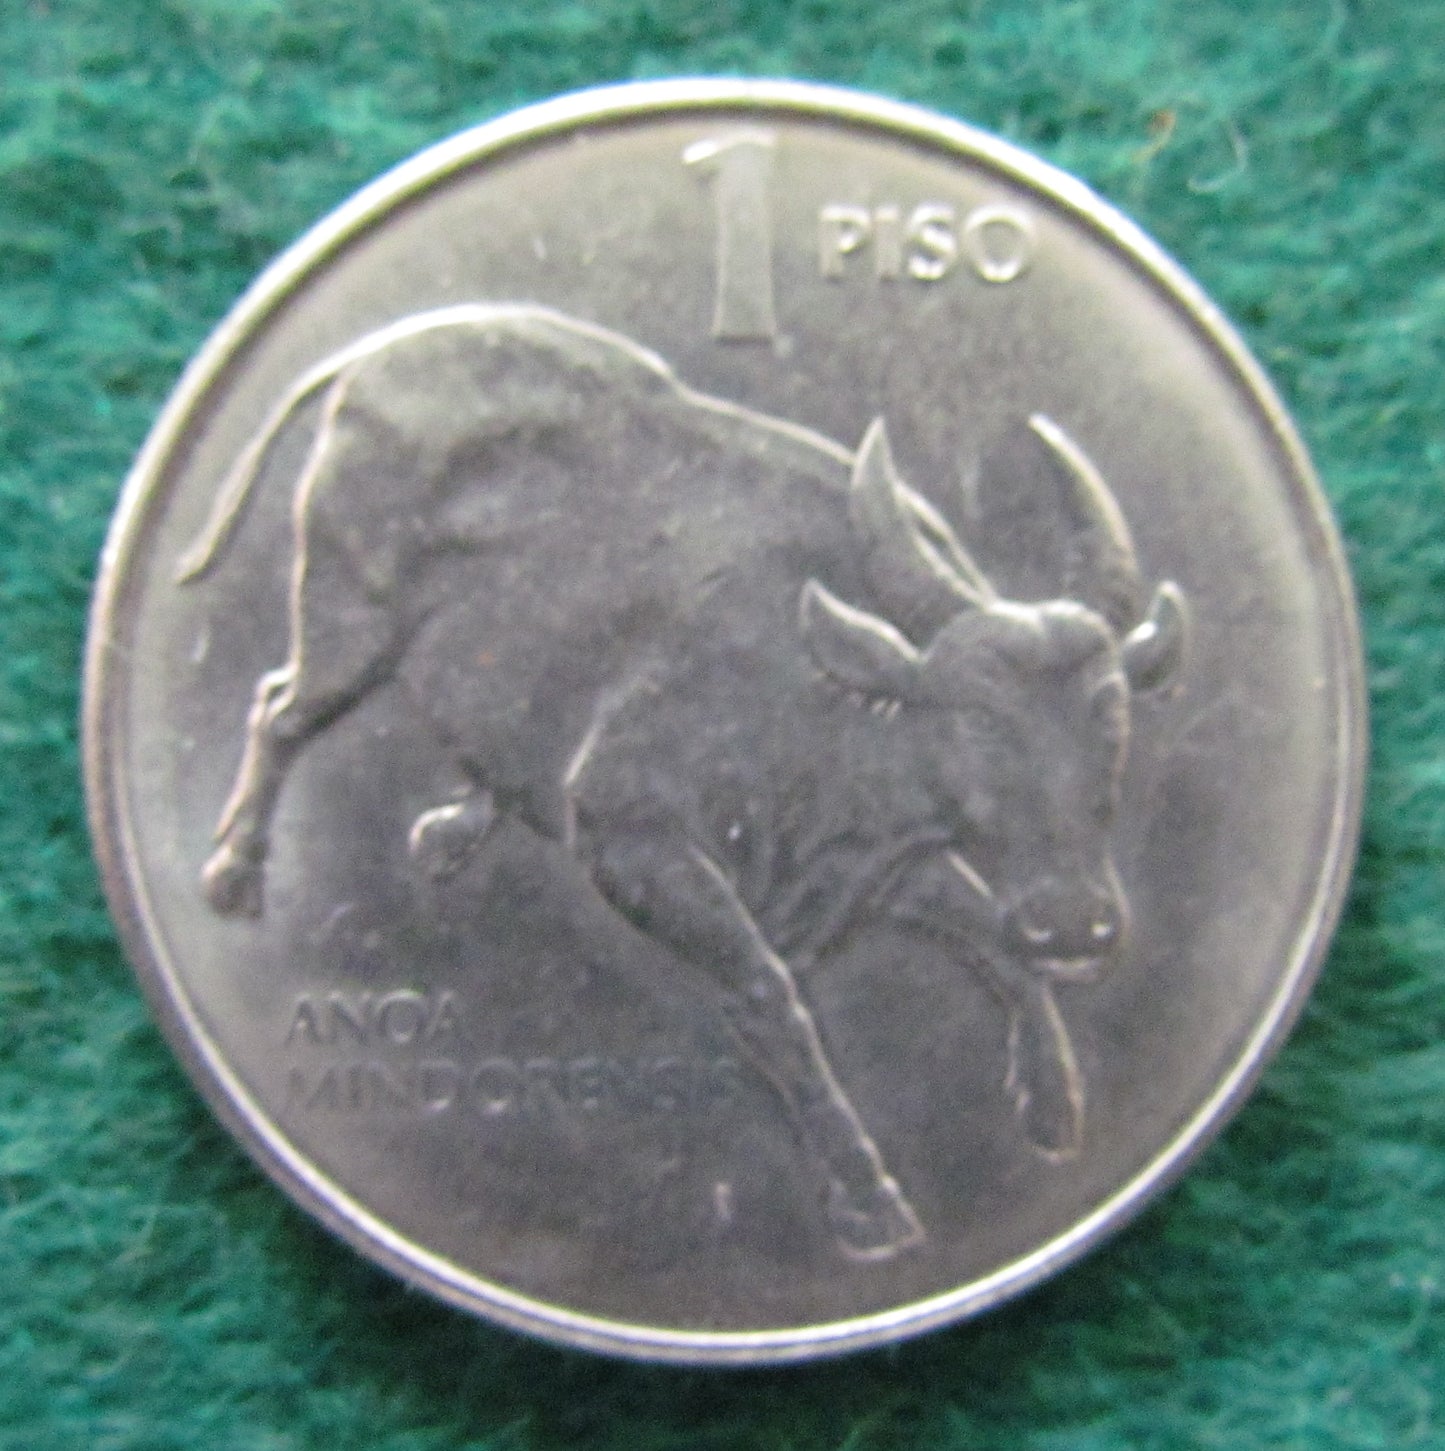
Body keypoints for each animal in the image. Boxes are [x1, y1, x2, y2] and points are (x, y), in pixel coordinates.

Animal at [181, 304, 1186, 1260]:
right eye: (975, 719)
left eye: (1111, 722)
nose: (1074, 923)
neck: (816, 681)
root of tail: (375, 360)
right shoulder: (637, 841)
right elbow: (772, 997)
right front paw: (868, 1199)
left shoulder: (885, 864)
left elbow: (990, 940)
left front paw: (1053, 1107)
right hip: (346, 628)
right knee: (277, 708)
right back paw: (233, 873)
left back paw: (456, 825)